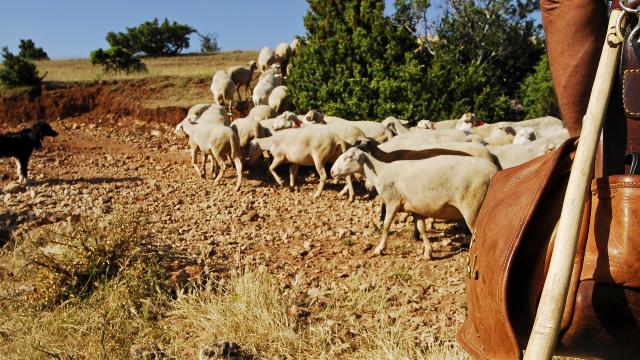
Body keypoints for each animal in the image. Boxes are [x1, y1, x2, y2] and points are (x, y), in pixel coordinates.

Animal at [332, 148, 498, 260]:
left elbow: (386, 225)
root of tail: (494, 171)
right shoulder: (417, 209)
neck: (379, 172)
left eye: (349, 157)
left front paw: (379, 248)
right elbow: (421, 229)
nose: (332, 172)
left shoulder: (392, 201)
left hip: (472, 205)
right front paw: (428, 252)